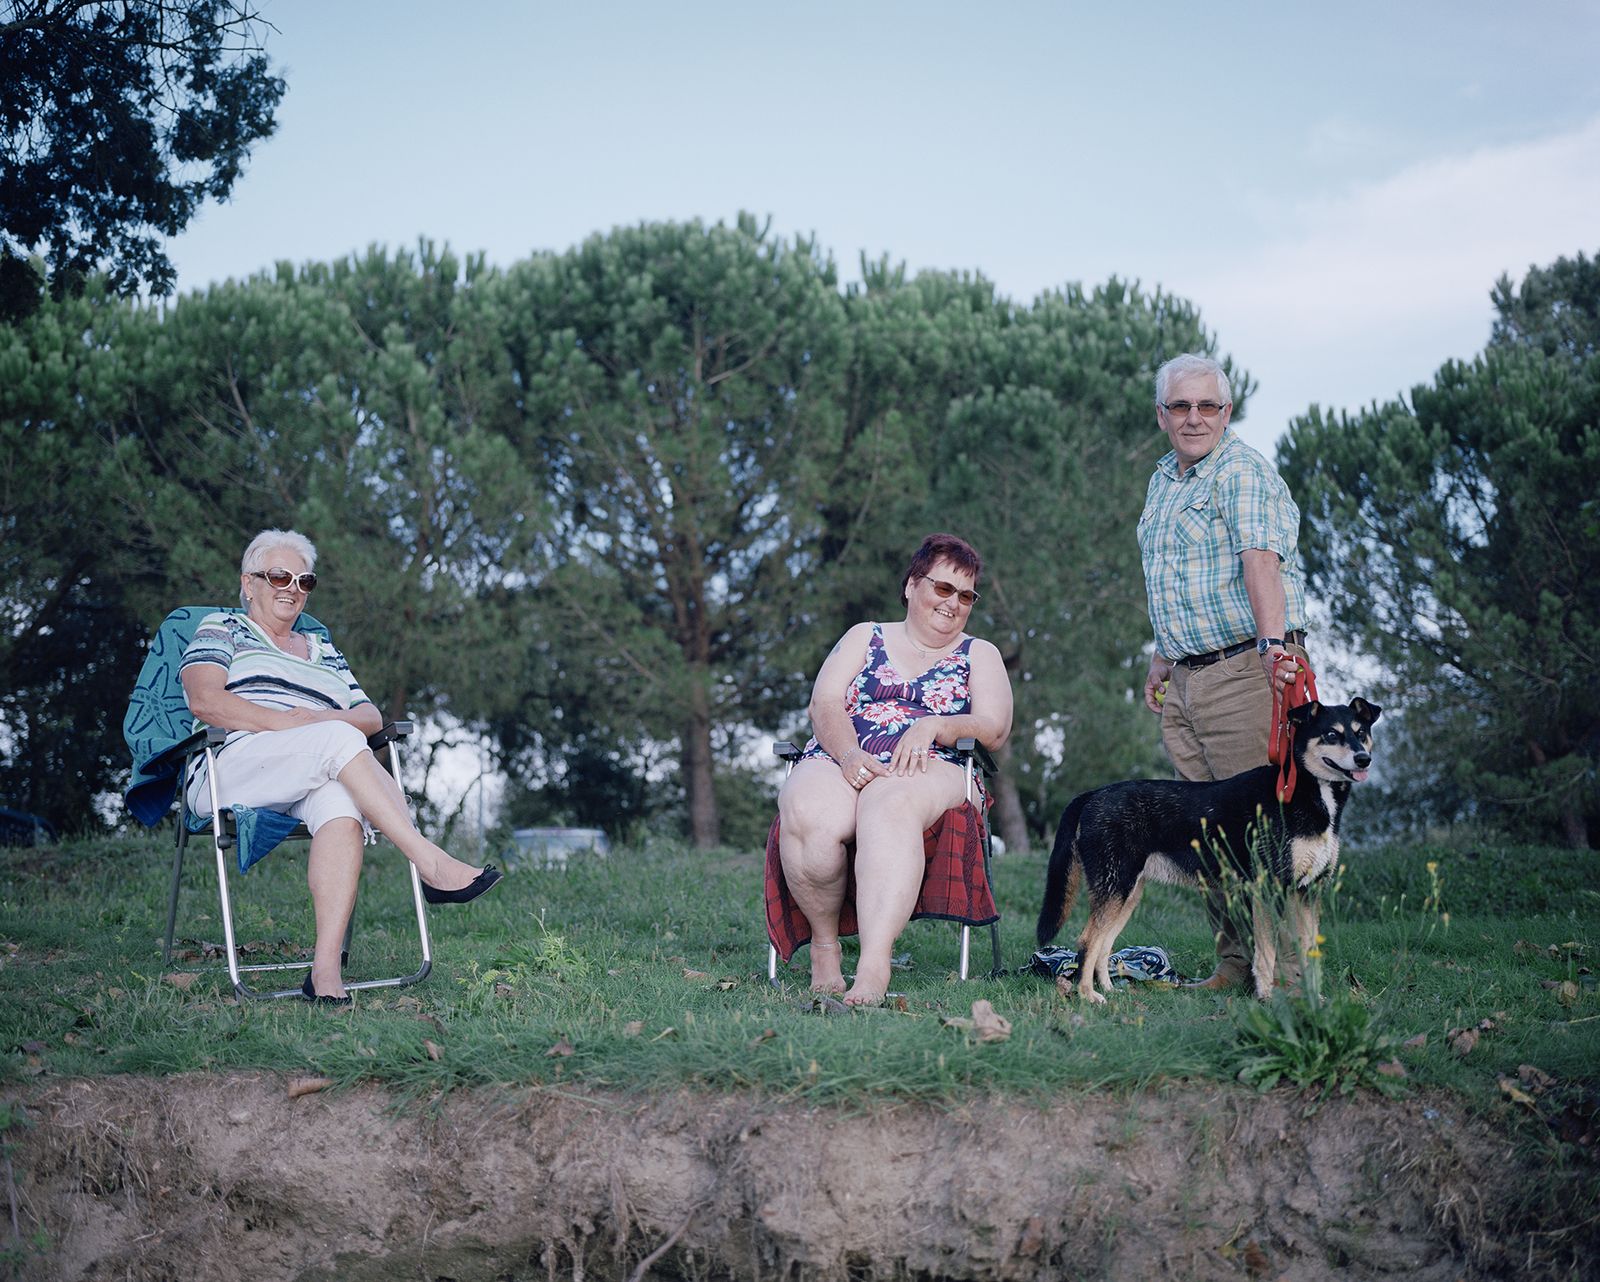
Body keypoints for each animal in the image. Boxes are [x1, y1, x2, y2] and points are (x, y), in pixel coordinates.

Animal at [1036, 701, 1376, 998]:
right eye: (1331, 734)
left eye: (1361, 733)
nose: (1363, 759)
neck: (1304, 789)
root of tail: (1093, 794)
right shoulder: (1266, 890)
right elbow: (1266, 955)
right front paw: (1267, 998)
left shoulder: (1308, 892)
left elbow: (1309, 956)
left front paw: (1313, 1000)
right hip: (1114, 888)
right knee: (1087, 941)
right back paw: (1088, 997)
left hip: (1127, 894)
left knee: (1104, 945)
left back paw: (1109, 990)